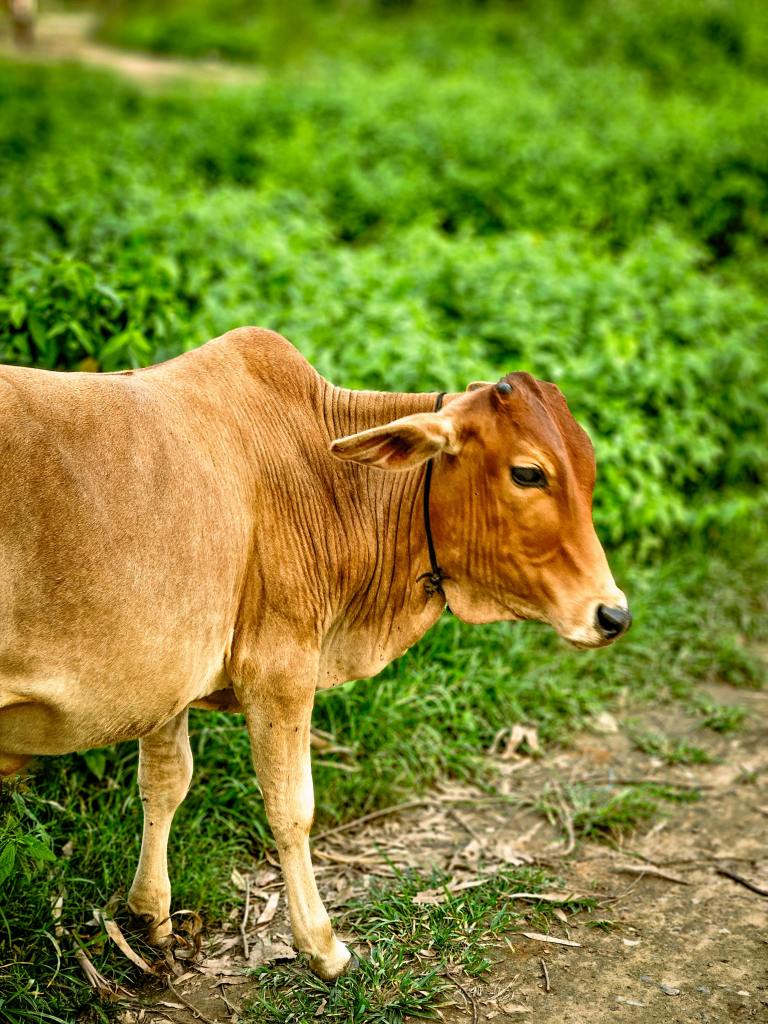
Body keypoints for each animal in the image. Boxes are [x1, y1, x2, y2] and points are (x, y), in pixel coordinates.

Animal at [0, 327, 630, 980]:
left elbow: (166, 782)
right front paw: (322, 946)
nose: (613, 614)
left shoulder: (164, 677)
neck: (323, 472)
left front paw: (153, 919)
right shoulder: (280, 668)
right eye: (528, 473)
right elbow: (291, 806)